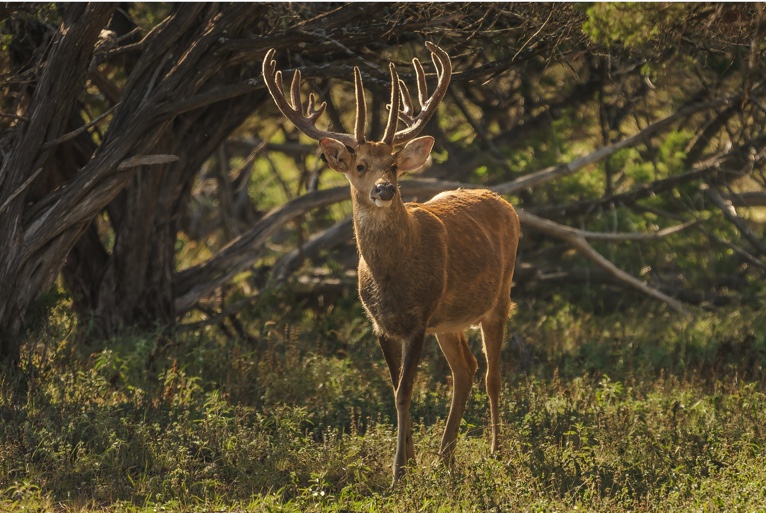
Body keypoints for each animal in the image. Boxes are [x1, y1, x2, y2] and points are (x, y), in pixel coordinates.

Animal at [262, 42, 520, 482]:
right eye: (360, 166)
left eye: (394, 164)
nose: (385, 189)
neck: (390, 277)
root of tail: (504, 202)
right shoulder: (381, 323)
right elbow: (395, 386)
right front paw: (410, 462)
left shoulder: (418, 318)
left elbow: (405, 391)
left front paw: (400, 471)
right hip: (448, 320)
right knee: (465, 368)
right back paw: (444, 456)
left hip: (498, 297)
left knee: (493, 374)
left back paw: (495, 451)